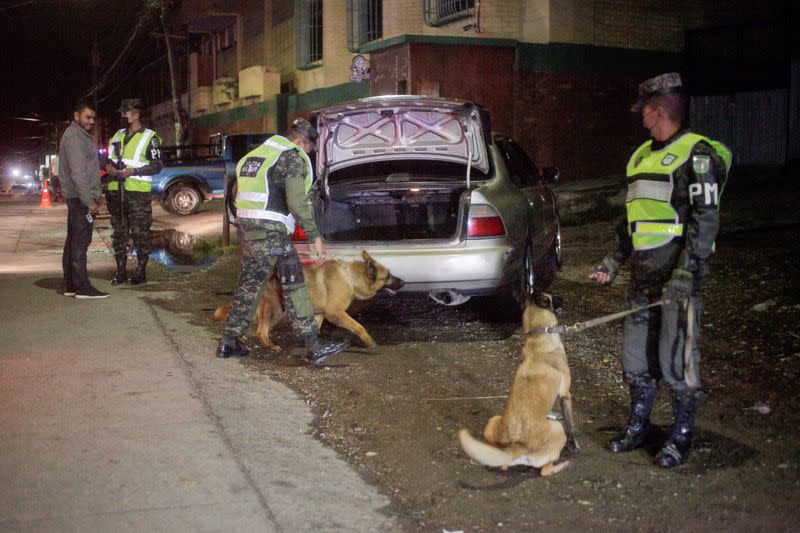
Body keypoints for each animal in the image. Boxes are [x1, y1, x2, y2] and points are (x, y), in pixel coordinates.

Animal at [212, 251, 404, 352]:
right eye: (388, 276)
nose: (403, 282)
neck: (350, 277)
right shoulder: (335, 313)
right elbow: (359, 326)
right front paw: (369, 341)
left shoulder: (320, 314)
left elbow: (315, 328)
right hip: (273, 309)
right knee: (260, 331)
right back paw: (269, 345)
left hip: (276, 311)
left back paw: (241, 338)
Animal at [460, 294, 580, 476]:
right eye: (553, 297)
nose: (563, 298)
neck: (540, 333)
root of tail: (517, 448)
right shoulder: (566, 395)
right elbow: (571, 424)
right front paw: (574, 446)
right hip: (558, 429)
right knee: (545, 470)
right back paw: (563, 465)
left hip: (494, 421)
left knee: (502, 464)